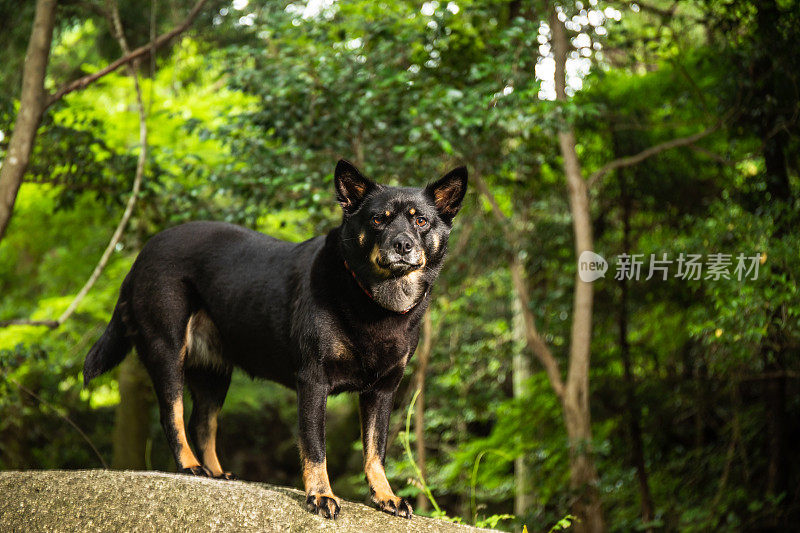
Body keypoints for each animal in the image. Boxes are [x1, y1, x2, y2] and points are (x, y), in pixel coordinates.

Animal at [83, 160, 466, 516]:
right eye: (377, 220)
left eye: (421, 222)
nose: (402, 245)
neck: (373, 300)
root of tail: (140, 257)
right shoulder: (312, 381)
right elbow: (315, 446)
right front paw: (320, 496)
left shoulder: (383, 391)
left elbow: (375, 450)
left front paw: (385, 496)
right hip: (167, 350)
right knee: (172, 415)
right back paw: (190, 467)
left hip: (213, 372)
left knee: (202, 423)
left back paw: (216, 473)